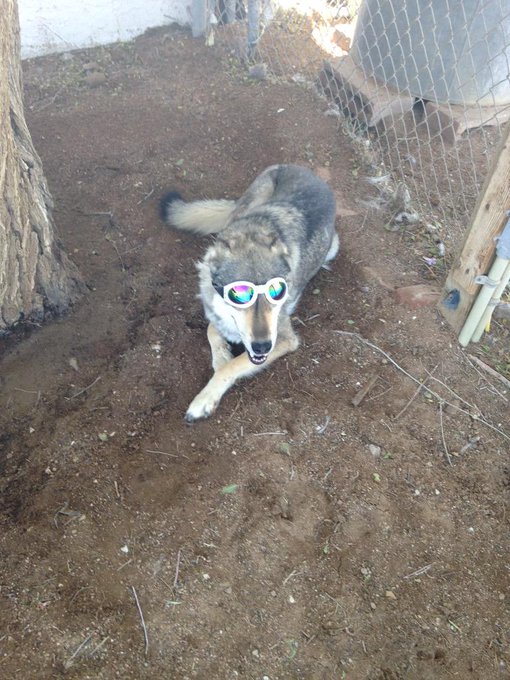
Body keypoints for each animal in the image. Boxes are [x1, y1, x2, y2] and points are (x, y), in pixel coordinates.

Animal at [161, 164, 339, 422]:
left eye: (277, 292)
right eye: (240, 295)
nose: (263, 347)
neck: (251, 235)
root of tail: (309, 171)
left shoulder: (285, 339)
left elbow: (233, 365)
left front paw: (206, 397)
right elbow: (211, 331)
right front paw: (221, 358)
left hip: (333, 247)